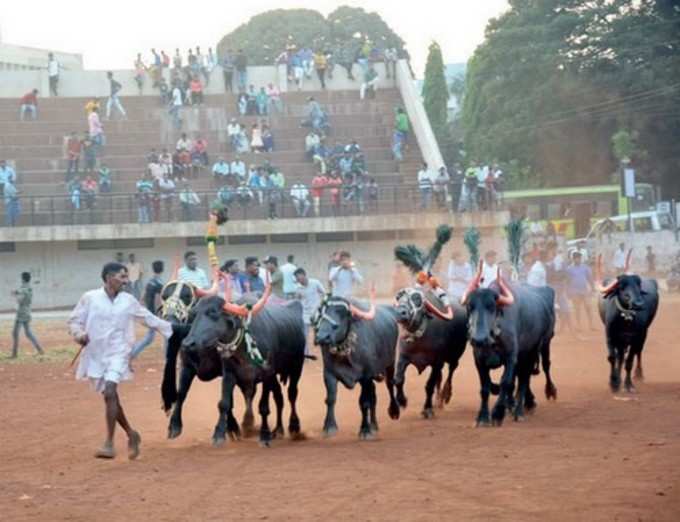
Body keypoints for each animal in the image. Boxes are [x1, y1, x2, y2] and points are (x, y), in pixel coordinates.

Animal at [182, 286, 306, 444]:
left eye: (213, 313)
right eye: (194, 313)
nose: (188, 344)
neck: (244, 347)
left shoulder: (267, 373)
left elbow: (263, 407)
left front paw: (264, 434)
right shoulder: (230, 374)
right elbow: (224, 403)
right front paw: (221, 433)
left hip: (296, 367)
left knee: (292, 394)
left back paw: (294, 427)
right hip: (274, 377)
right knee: (279, 397)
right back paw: (278, 429)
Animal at [314, 292, 404, 438]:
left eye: (341, 312)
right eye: (323, 311)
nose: (322, 337)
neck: (345, 355)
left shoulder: (366, 376)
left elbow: (364, 402)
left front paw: (365, 430)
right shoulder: (329, 374)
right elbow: (330, 399)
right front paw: (329, 426)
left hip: (390, 363)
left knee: (390, 385)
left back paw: (394, 411)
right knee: (374, 396)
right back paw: (374, 425)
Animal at [394, 286, 468, 416]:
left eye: (417, 299)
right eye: (399, 297)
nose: (400, 312)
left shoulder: (437, 362)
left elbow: (429, 385)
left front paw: (427, 409)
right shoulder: (403, 357)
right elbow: (398, 379)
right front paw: (402, 401)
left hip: (455, 356)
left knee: (451, 372)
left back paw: (445, 396)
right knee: (440, 377)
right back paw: (438, 401)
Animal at [462, 264, 556, 426]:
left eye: (492, 306)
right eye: (470, 306)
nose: (478, 339)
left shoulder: (511, 357)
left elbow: (506, 382)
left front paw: (498, 413)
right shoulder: (479, 360)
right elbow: (485, 387)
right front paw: (483, 416)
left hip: (540, 346)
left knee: (535, 372)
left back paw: (523, 408)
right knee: (522, 378)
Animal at [596, 251, 660, 390]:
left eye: (638, 285)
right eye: (622, 286)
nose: (639, 304)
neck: (625, 321)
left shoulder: (636, 337)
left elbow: (629, 361)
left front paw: (628, 384)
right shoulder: (610, 335)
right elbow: (612, 357)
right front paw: (614, 382)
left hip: (644, 334)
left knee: (638, 352)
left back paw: (639, 374)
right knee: (620, 356)